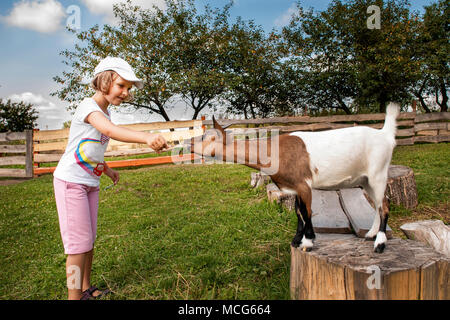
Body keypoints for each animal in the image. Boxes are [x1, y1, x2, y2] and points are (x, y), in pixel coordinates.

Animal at [192, 104, 400, 254]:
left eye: (206, 137)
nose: (189, 144)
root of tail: (385, 134)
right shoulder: (293, 187)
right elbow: (298, 212)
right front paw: (296, 240)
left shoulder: (304, 184)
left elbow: (307, 212)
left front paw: (308, 242)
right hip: (365, 180)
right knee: (378, 204)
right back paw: (371, 234)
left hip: (378, 173)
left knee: (384, 204)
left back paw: (380, 243)